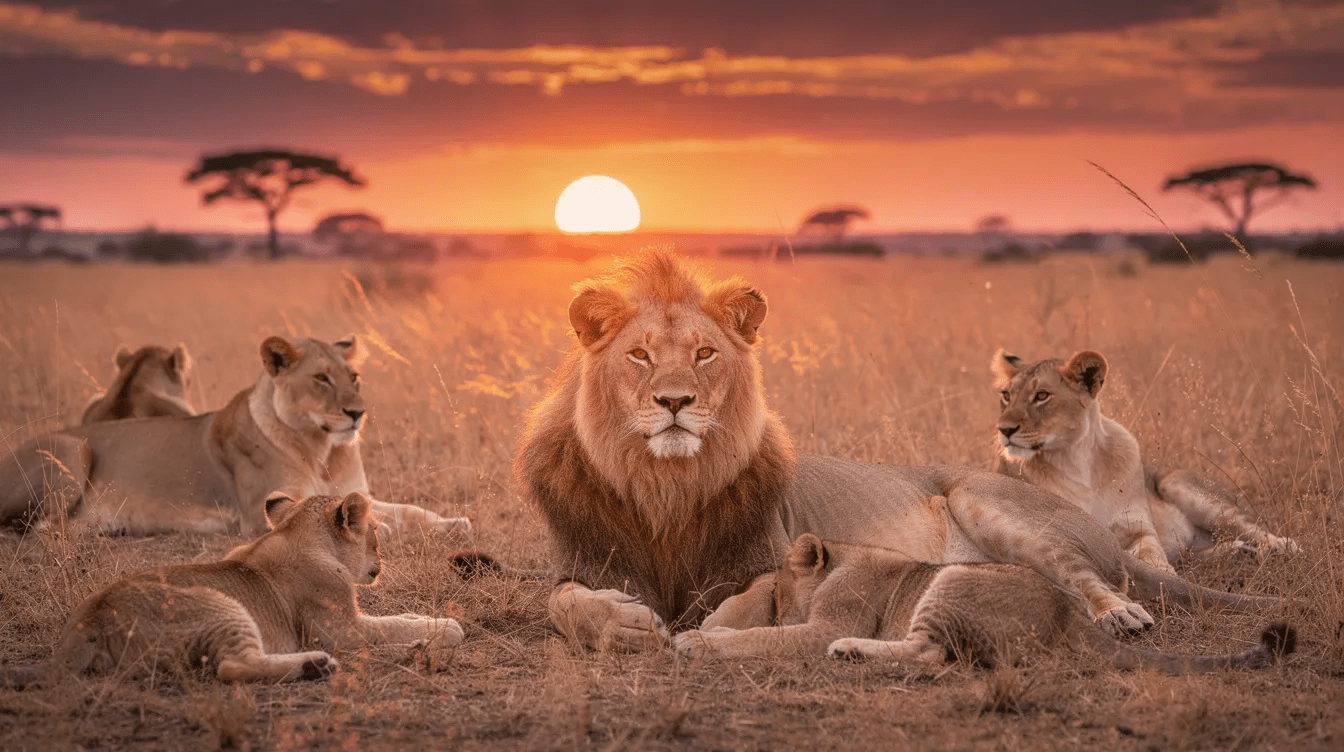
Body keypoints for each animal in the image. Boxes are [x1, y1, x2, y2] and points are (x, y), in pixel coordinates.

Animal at [0, 335, 470, 539]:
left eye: (354, 377)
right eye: (321, 379)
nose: (358, 413)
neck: (321, 450)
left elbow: (410, 510)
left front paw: (453, 522)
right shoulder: (263, 514)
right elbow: (377, 522)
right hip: (72, 449)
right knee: (36, 526)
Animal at [1, 492, 464, 686]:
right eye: (376, 535)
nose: (380, 565)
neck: (296, 533)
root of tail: (93, 616)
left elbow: (398, 618)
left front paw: (426, 623)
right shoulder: (341, 631)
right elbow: (389, 628)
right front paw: (446, 629)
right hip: (222, 607)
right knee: (231, 668)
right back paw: (319, 666)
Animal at [991, 349, 1298, 572]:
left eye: (1042, 396)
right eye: (1006, 396)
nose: (1003, 429)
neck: (1075, 460)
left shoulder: (1137, 528)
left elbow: (1150, 550)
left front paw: (1160, 574)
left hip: (1176, 484)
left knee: (1253, 527)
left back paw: (1279, 547)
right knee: (1194, 556)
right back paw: (1238, 553)